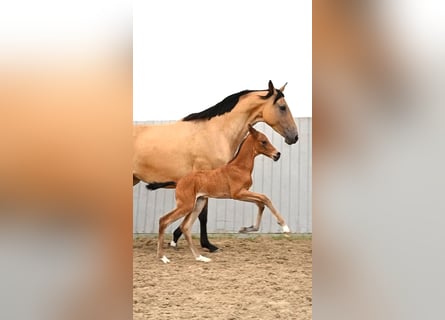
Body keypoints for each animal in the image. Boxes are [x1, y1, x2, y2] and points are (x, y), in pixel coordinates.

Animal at [158, 126, 290, 264]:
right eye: (263, 141)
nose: (277, 154)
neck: (239, 167)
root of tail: (179, 181)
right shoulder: (238, 193)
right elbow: (265, 198)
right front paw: (285, 227)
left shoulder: (243, 193)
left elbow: (261, 203)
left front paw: (246, 229)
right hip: (186, 205)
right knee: (164, 220)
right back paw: (163, 257)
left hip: (199, 203)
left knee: (185, 227)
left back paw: (200, 257)